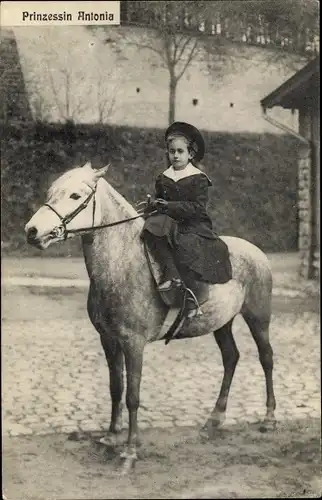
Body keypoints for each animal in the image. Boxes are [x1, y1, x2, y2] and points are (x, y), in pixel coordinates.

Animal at [25, 163, 276, 472]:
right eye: (51, 192)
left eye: (75, 195)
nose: (32, 231)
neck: (122, 264)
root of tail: (256, 251)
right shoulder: (109, 340)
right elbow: (116, 388)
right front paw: (111, 437)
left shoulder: (134, 343)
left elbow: (132, 396)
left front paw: (130, 452)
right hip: (222, 323)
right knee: (231, 358)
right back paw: (214, 420)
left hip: (258, 316)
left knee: (266, 358)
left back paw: (269, 418)